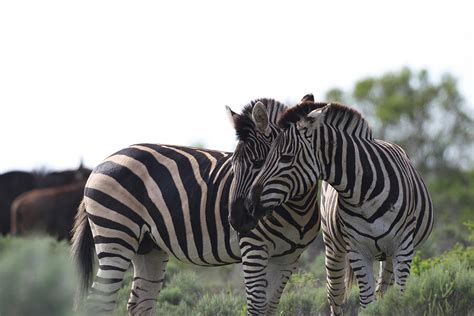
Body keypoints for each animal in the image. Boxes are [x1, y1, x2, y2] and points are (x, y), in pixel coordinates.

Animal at [70, 97, 320, 314]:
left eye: (259, 163)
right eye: (233, 164)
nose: (236, 220)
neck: (297, 207)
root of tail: (101, 163)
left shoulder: (288, 257)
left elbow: (270, 306)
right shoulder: (253, 247)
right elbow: (257, 306)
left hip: (148, 246)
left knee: (140, 303)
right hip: (115, 235)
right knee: (99, 302)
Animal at [246, 99, 436, 314]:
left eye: (286, 157)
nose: (250, 203)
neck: (364, 193)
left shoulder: (403, 247)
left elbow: (399, 298)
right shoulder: (357, 250)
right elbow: (367, 302)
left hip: (388, 255)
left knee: (384, 290)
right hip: (333, 249)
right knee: (336, 297)